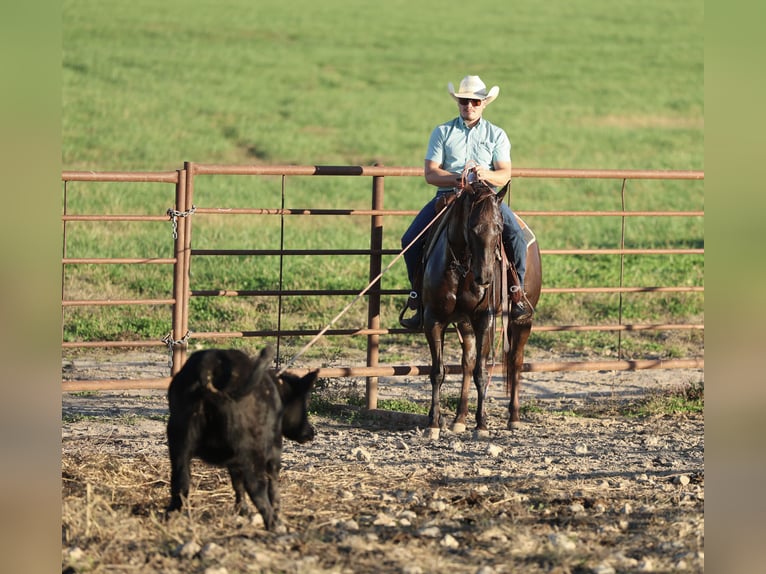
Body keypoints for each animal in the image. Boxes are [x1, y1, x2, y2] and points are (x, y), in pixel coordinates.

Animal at [420, 178, 542, 438]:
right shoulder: (433, 319)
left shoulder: (484, 318)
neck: (462, 267)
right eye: (472, 228)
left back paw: (514, 418)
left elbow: (481, 372)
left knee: (515, 361)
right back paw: (460, 418)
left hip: (522, 320)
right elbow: (438, 371)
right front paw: (433, 423)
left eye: (498, 228)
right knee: (467, 362)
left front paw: (482, 425)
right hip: (464, 323)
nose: (484, 278)